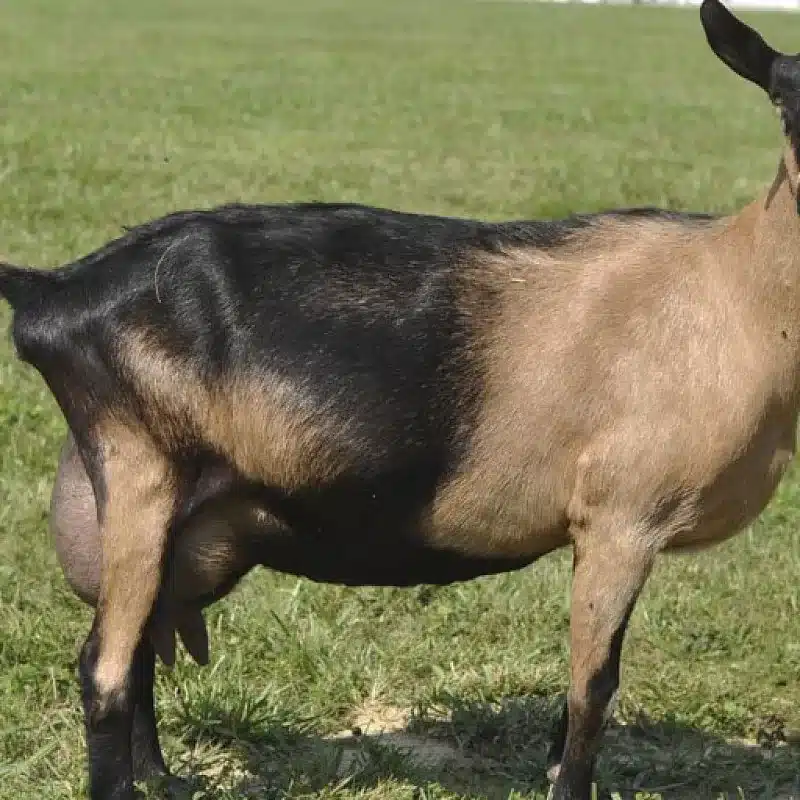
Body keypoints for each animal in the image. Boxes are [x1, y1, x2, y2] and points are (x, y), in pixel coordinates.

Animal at [5, 1, 798, 796]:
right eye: (783, 99)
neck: (728, 288)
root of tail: (56, 291)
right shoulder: (621, 517)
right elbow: (593, 688)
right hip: (138, 467)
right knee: (105, 669)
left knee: (138, 648)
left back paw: (162, 779)